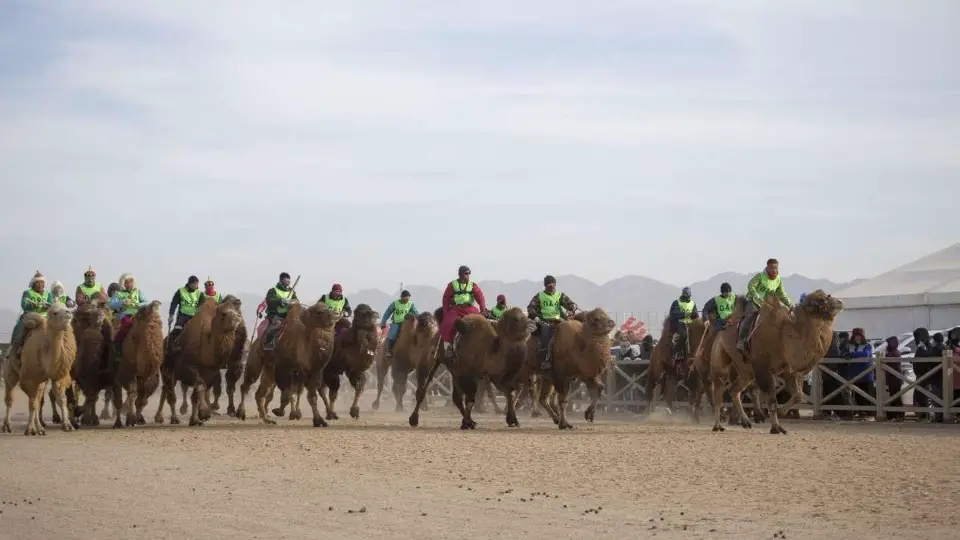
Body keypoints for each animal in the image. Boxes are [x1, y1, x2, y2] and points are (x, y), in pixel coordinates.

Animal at [2, 302, 77, 436]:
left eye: (66, 307)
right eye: (55, 312)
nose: (69, 313)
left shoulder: (58, 375)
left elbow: (61, 399)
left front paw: (67, 425)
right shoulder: (29, 378)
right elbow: (32, 403)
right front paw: (29, 430)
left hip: (41, 382)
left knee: (38, 399)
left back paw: (40, 429)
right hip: (9, 371)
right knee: (10, 398)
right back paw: (7, 427)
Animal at [70, 296, 115, 426]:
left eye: (105, 326)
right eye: (82, 319)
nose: (77, 411)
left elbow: (93, 388)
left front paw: (90, 420)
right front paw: (81, 418)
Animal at [156, 296, 246, 426]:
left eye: (237, 311)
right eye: (223, 313)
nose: (236, 318)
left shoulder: (211, 372)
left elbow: (197, 395)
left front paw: (195, 420)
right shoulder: (186, 368)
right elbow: (200, 386)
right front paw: (204, 414)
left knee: (166, 390)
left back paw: (162, 417)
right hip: (167, 368)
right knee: (169, 392)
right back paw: (171, 418)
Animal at [708, 292, 844, 434]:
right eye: (821, 300)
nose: (839, 302)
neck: (783, 339)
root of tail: (722, 328)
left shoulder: (788, 371)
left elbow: (798, 395)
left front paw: (780, 413)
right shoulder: (763, 369)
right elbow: (772, 401)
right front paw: (776, 427)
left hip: (746, 371)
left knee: (734, 390)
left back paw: (746, 422)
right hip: (720, 356)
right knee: (718, 392)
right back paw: (717, 426)